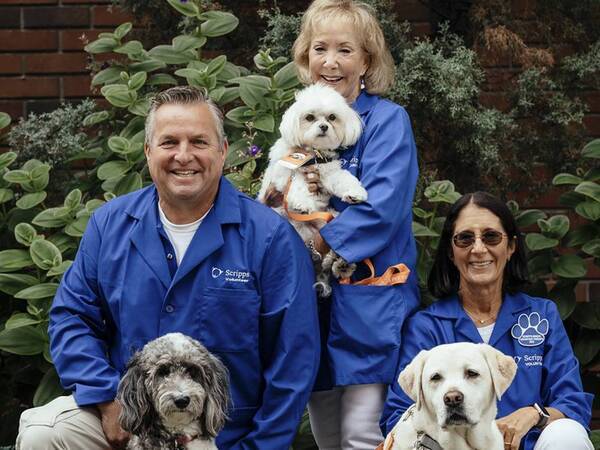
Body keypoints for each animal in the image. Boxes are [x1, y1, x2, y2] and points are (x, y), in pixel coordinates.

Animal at [256, 83, 366, 298]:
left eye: (332, 117)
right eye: (309, 117)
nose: (323, 127)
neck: (312, 155)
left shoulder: (329, 171)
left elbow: (343, 179)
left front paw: (354, 193)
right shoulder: (285, 173)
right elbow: (297, 182)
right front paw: (302, 203)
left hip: (329, 218)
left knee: (332, 252)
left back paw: (342, 264)